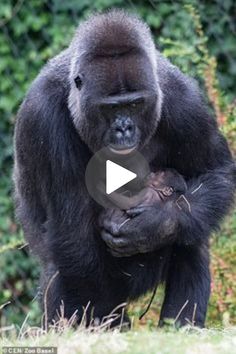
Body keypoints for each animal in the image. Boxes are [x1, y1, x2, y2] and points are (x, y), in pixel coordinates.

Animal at [13, 9, 235, 330]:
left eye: (134, 104)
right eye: (110, 108)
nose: (124, 129)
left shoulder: (181, 98)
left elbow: (217, 171)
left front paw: (157, 223)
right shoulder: (43, 117)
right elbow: (73, 238)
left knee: (192, 231)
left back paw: (179, 325)